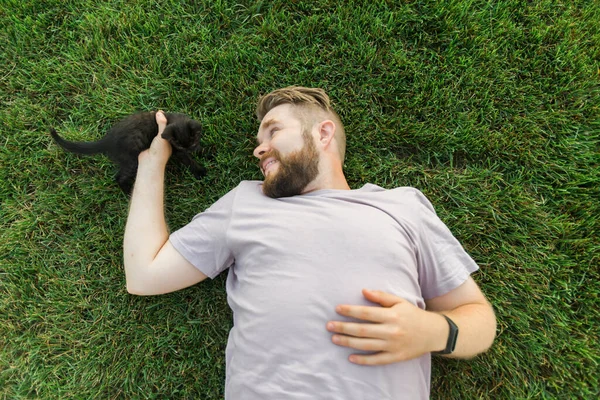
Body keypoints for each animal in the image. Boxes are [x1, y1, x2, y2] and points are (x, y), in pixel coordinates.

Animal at [49, 111, 204, 195]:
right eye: (179, 145)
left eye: (192, 143)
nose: (189, 149)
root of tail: (108, 140)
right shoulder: (176, 151)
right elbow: (187, 160)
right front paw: (199, 171)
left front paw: (202, 151)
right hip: (132, 160)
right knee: (119, 177)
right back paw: (128, 191)